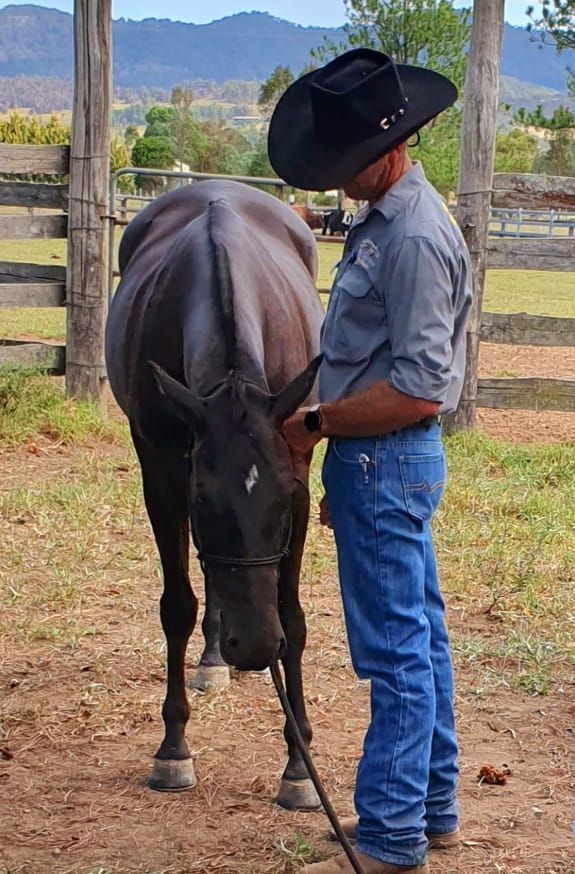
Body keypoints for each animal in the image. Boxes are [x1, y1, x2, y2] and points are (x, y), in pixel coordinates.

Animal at [105, 179, 325, 810]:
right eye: (204, 506)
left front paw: (297, 764)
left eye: (280, 507)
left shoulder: (300, 473)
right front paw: (173, 748)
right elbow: (177, 605)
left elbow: (293, 613)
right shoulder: (163, 478)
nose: (254, 648)